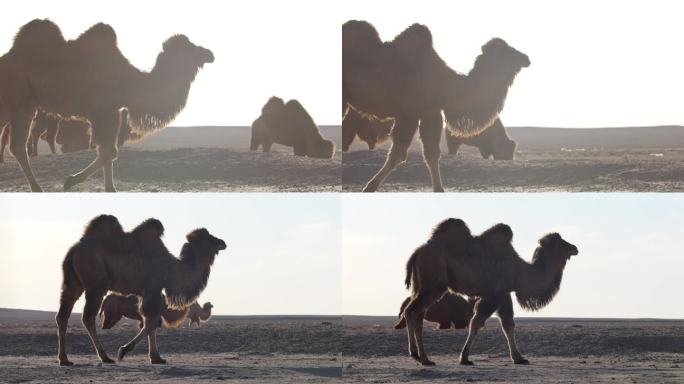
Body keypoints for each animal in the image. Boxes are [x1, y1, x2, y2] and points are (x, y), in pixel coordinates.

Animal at [0, 19, 214, 190]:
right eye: (190, 48)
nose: (209, 53)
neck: (129, 82)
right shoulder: (101, 112)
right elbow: (109, 151)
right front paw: (70, 181)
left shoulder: (113, 112)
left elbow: (108, 152)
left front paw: (109, 189)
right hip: (21, 102)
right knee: (18, 146)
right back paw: (37, 188)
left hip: (17, 106)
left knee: (15, 143)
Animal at [56, 216, 227, 366]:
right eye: (210, 238)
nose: (223, 242)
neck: (172, 268)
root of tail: (74, 250)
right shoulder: (153, 290)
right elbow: (151, 322)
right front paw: (125, 351)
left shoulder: (147, 293)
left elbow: (150, 322)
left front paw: (156, 358)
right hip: (96, 284)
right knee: (88, 317)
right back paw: (105, 357)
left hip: (73, 283)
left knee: (62, 315)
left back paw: (64, 359)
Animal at [344, 20, 532, 191]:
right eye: (507, 51)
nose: (526, 58)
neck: (446, 83)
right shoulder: (409, 112)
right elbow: (398, 154)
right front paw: (369, 187)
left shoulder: (430, 111)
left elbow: (432, 154)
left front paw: (439, 189)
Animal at [400, 219, 576, 366]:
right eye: (561, 243)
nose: (575, 248)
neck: (519, 271)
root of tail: (416, 253)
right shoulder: (495, 294)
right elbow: (476, 322)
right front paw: (464, 358)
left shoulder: (504, 294)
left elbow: (508, 325)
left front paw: (519, 358)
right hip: (433, 285)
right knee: (411, 311)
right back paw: (418, 355)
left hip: (421, 286)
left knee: (418, 315)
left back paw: (423, 357)